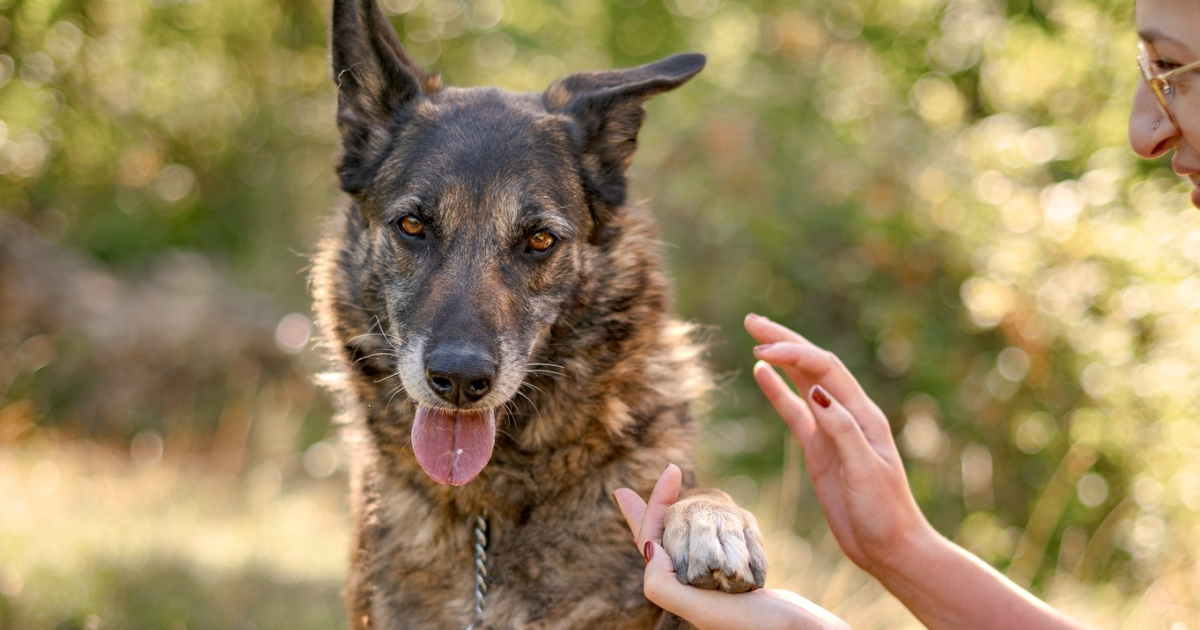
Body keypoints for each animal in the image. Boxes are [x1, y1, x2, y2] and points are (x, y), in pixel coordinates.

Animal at [314, 2, 768, 624]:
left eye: (539, 240)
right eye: (412, 225)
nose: (459, 380)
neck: (489, 509)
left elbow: (694, 491)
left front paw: (710, 518)